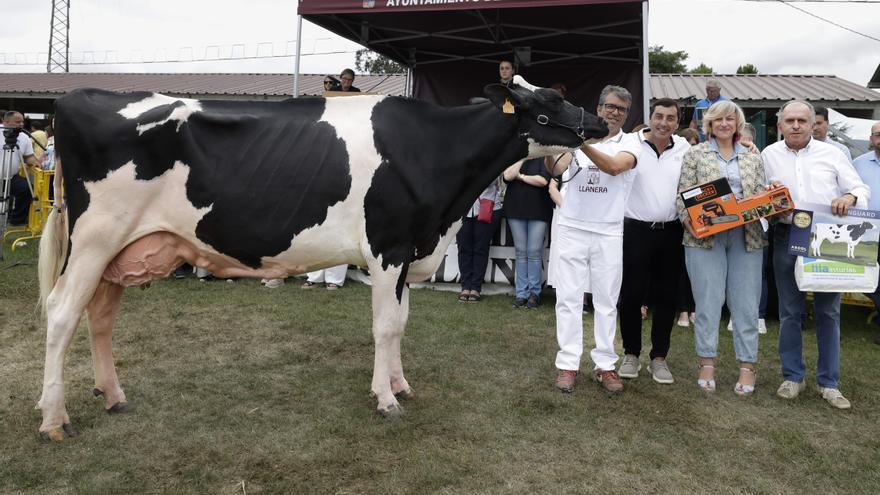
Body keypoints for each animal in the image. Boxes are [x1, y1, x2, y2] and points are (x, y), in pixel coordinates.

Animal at [37, 75, 608, 440]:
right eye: (550, 100)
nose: (602, 123)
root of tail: (78, 98)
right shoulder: (387, 247)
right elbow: (385, 326)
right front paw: (385, 399)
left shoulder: (406, 254)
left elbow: (401, 323)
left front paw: (400, 384)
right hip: (94, 237)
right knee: (62, 313)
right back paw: (53, 420)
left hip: (119, 251)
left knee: (99, 317)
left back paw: (112, 395)